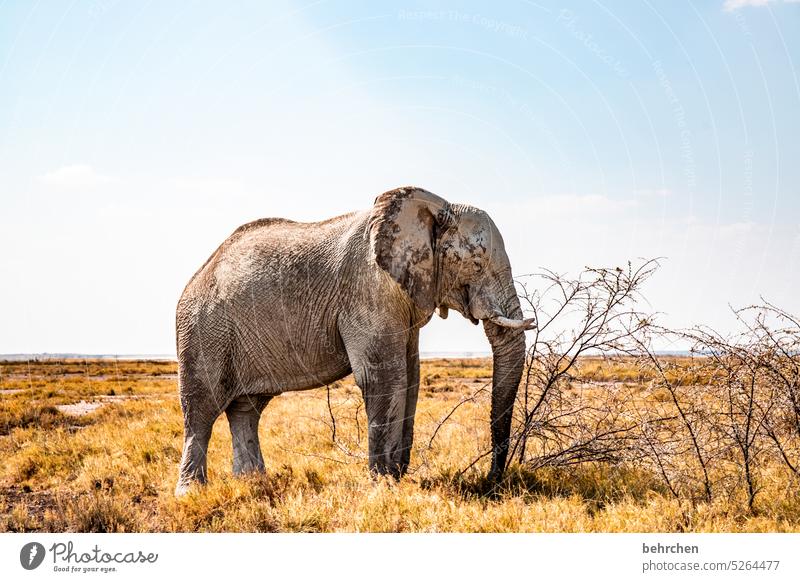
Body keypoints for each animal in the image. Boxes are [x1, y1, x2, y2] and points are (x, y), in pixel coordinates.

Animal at [174, 188, 532, 498]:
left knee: (246, 409)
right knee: (201, 409)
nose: (492, 481)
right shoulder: (368, 291)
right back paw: (191, 492)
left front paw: (397, 477)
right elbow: (384, 379)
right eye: (476, 263)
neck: (435, 206)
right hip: (203, 331)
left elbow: (411, 378)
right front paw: (384, 484)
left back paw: (253, 483)